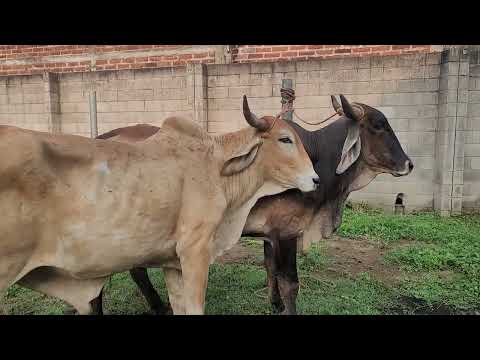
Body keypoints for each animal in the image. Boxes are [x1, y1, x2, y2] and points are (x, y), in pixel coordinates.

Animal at [94, 95, 412, 316]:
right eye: (379, 126)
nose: (409, 164)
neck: (319, 158)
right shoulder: (287, 234)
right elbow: (290, 282)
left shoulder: (271, 236)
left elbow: (270, 270)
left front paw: (275, 305)